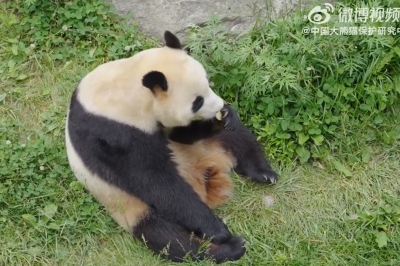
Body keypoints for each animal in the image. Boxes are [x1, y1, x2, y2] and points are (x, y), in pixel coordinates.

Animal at [65, 31, 278, 264]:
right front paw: (218, 230)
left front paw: (224, 118)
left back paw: (263, 172)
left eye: (208, 82)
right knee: (169, 237)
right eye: (197, 101)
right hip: (131, 206)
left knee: (238, 139)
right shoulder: (112, 133)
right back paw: (228, 247)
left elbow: (181, 135)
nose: (219, 106)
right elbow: (155, 181)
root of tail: (206, 169)